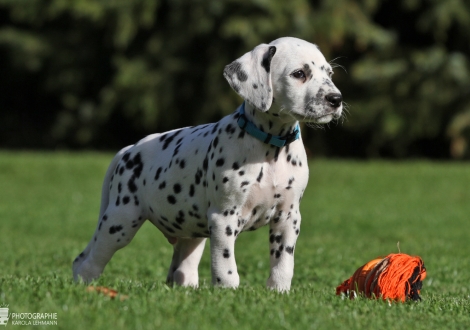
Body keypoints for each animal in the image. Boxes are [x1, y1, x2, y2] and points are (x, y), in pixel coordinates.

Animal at [74, 36, 346, 292]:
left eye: (330, 74)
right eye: (299, 74)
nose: (336, 99)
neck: (271, 149)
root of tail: (128, 150)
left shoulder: (288, 217)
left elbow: (283, 263)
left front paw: (279, 292)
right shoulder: (224, 218)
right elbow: (226, 267)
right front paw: (228, 294)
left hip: (190, 234)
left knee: (181, 271)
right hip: (120, 221)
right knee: (87, 261)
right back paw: (85, 287)